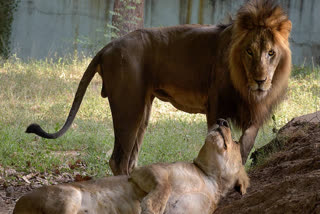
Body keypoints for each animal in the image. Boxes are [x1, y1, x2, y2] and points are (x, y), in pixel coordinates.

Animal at [13, 119, 249, 213]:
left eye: (236, 143)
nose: (222, 120)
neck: (209, 179)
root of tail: (17, 205)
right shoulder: (146, 170)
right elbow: (164, 186)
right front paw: (151, 207)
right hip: (69, 195)